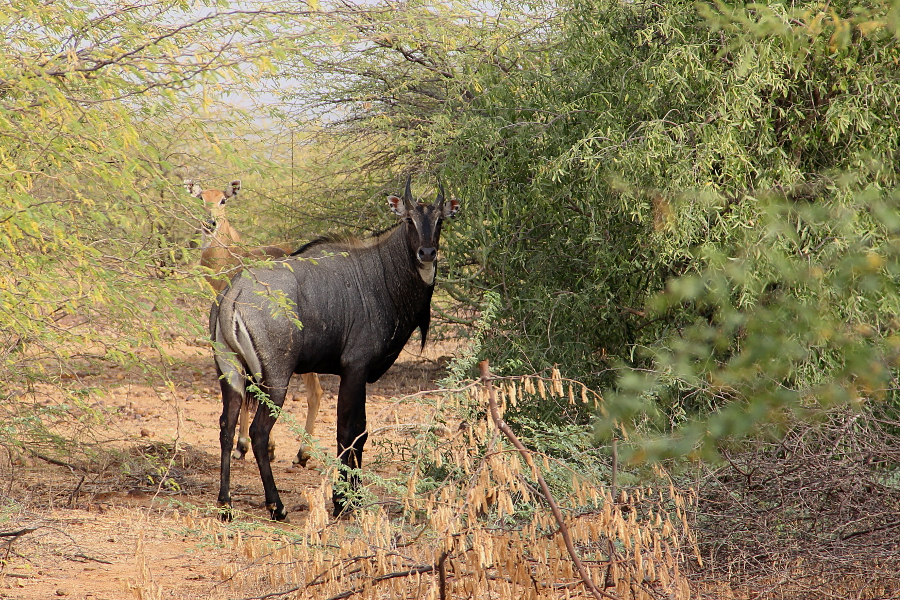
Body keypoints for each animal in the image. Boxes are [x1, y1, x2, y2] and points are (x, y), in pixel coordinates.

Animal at [186, 180, 324, 466]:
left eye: (223, 200)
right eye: (201, 198)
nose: (209, 222)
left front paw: (244, 446)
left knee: (314, 391)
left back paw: (302, 453)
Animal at [209, 179, 458, 520]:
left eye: (440, 220)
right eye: (409, 219)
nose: (427, 252)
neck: (381, 271)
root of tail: (234, 294)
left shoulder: (358, 374)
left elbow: (359, 432)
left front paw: (354, 497)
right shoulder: (354, 369)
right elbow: (348, 432)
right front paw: (343, 502)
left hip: (231, 374)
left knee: (226, 426)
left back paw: (225, 504)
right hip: (276, 377)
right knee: (260, 431)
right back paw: (276, 505)